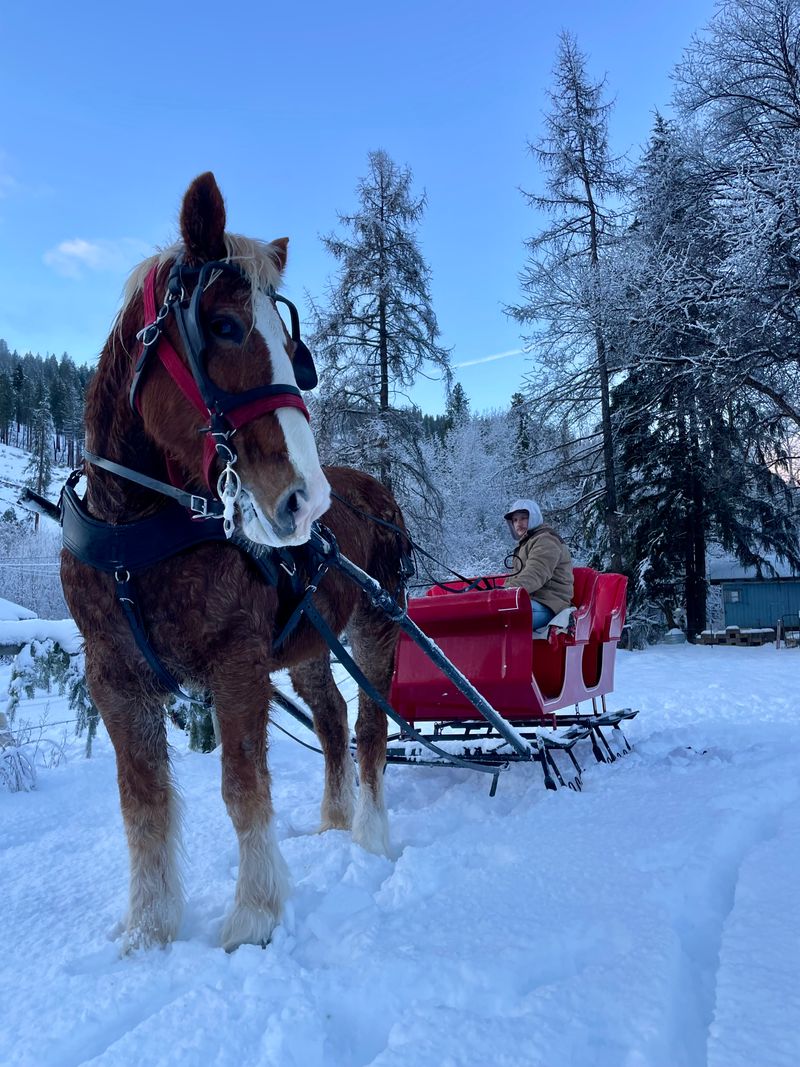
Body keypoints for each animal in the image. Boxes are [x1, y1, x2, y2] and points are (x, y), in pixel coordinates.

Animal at [60, 172, 407, 952]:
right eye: (223, 327)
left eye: (292, 344)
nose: (306, 499)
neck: (137, 537)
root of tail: (376, 491)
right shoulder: (115, 680)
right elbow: (143, 803)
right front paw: (148, 928)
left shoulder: (237, 662)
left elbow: (243, 788)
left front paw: (253, 915)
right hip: (310, 644)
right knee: (333, 719)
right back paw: (333, 822)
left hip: (377, 625)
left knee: (371, 728)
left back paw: (369, 834)